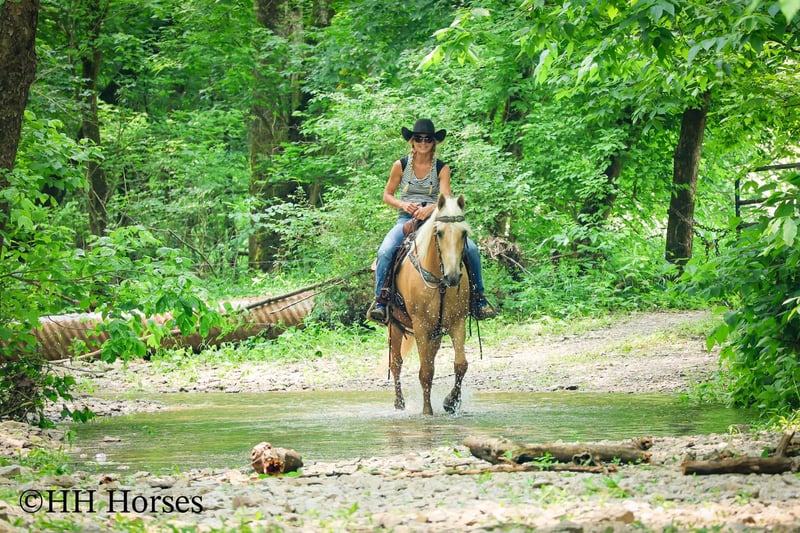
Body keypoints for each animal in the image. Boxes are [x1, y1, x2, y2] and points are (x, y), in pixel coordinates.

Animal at [388, 193, 471, 415]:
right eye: (439, 233)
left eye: (464, 233)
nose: (453, 276)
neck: (440, 281)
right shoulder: (420, 326)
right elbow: (425, 371)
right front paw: (427, 411)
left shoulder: (458, 322)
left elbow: (460, 364)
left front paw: (450, 402)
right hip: (395, 325)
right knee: (396, 363)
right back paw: (399, 404)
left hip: (435, 333)